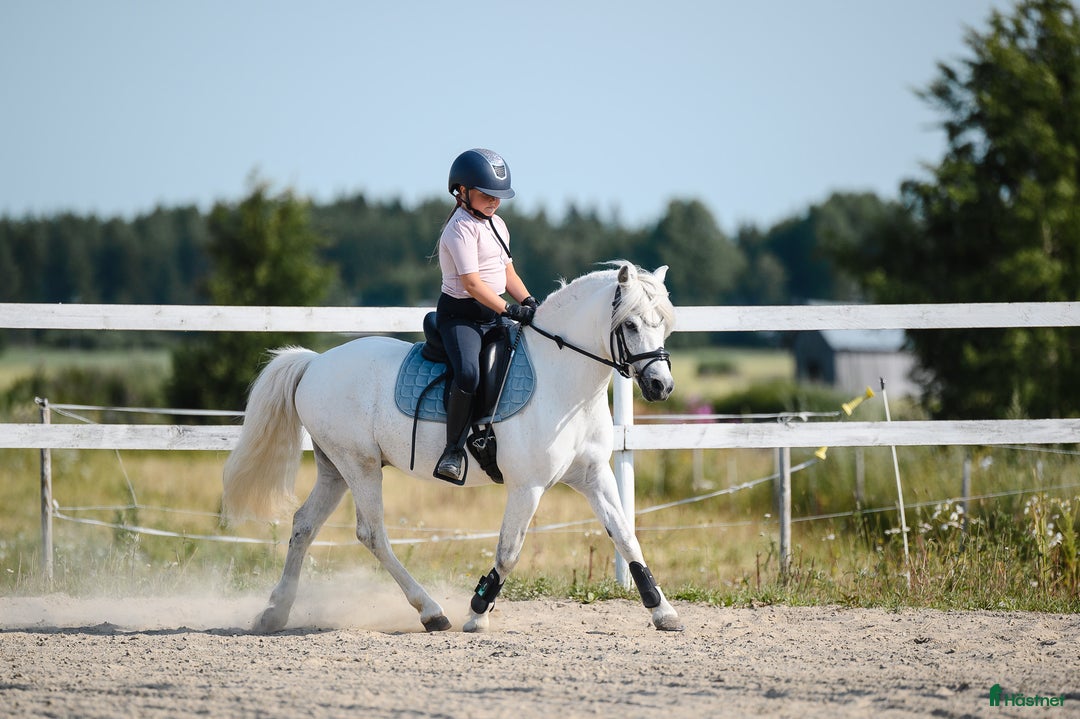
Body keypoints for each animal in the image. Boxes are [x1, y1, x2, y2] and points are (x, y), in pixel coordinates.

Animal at [221, 261, 684, 633]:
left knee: (304, 525)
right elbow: (509, 551)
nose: (660, 386)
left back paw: (274, 613)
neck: (563, 381)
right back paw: (431, 612)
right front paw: (478, 612)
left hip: (334, 469)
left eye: (663, 325)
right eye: (630, 325)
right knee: (372, 534)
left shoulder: (593, 476)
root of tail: (315, 362)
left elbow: (626, 536)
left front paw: (662, 611)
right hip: (360, 465)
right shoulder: (527, 487)